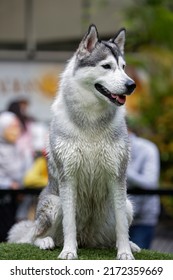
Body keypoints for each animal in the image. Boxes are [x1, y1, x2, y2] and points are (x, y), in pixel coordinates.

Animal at [8, 25, 141, 260]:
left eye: (123, 67)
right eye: (106, 66)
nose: (131, 85)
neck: (92, 122)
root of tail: (87, 238)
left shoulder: (117, 176)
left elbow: (122, 228)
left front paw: (125, 253)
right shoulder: (68, 177)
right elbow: (69, 223)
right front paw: (69, 252)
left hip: (127, 205)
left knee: (115, 233)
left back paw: (128, 245)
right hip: (54, 204)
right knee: (34, 236)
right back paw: (47, 242)